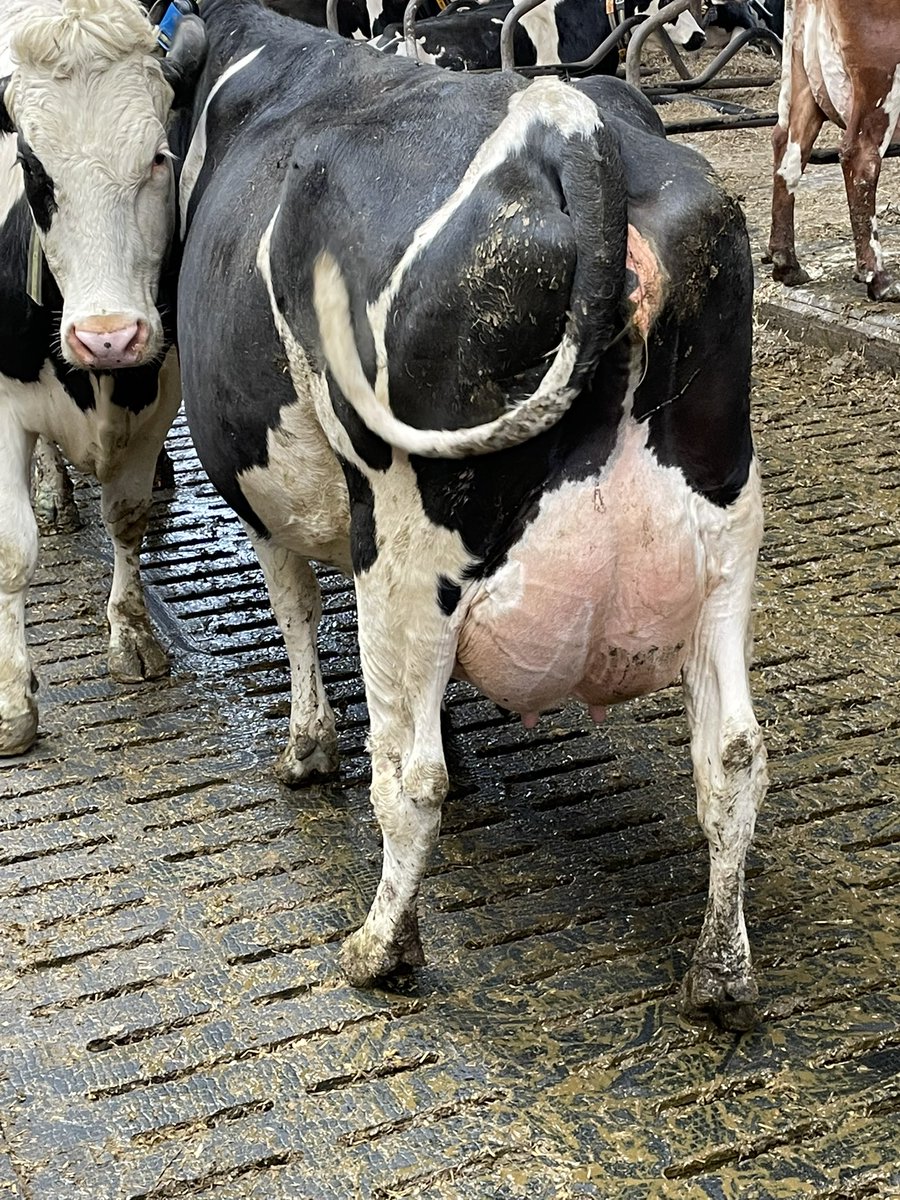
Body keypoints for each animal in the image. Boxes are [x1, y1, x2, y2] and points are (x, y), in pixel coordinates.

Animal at [0, 0, 205, 756]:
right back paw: (55, 494)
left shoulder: (158, 394)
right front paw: (13, 702)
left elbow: (127, 517)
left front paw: (133, 636)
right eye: (34, 173)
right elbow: (12, 550)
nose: (107, 337)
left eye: (157, 159)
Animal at [177, 0, 768, 1030]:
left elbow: (295, 606)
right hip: (726, 535)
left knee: (410, 776)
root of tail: (575, 130)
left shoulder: (256, 486)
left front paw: (305, 751)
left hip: (410, 545)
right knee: (732, 755)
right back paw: (721, 976)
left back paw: (380, 947)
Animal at [767, 0, 900, 300]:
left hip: (801, 74)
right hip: (882, 76)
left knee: (788, 149)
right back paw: (879, 279)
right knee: (861, 158)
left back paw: (787, 265)